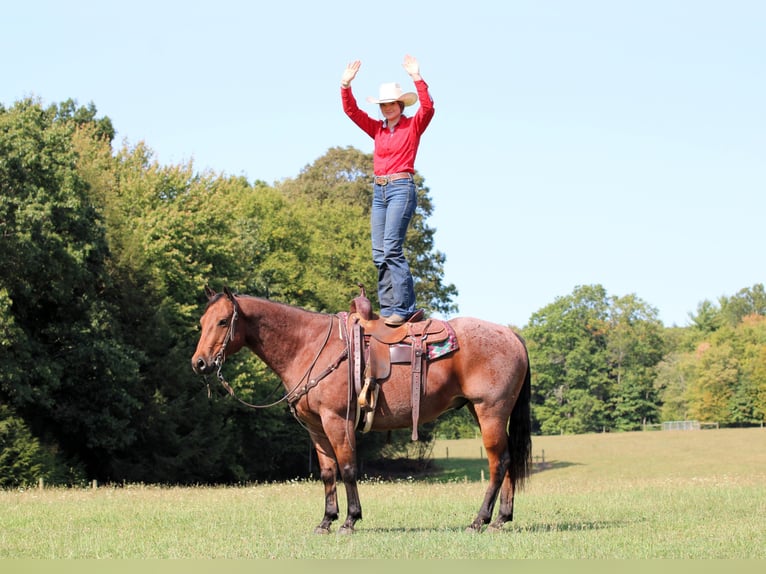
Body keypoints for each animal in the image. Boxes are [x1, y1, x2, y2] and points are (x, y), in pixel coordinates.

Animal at [191, 286, 532, 534]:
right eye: (202, 323)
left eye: (223, 321)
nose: (199, 363)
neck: (309, 345)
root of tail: (511, 334)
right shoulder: (316, 427)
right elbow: (328, 473)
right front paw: (326, 520)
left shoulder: (336, 421)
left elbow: (348, 468)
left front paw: (350, 519)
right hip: (483, 412)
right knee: (508, 460)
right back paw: (501, 519)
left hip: (490, 412)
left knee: (498, 463)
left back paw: (480, 520)